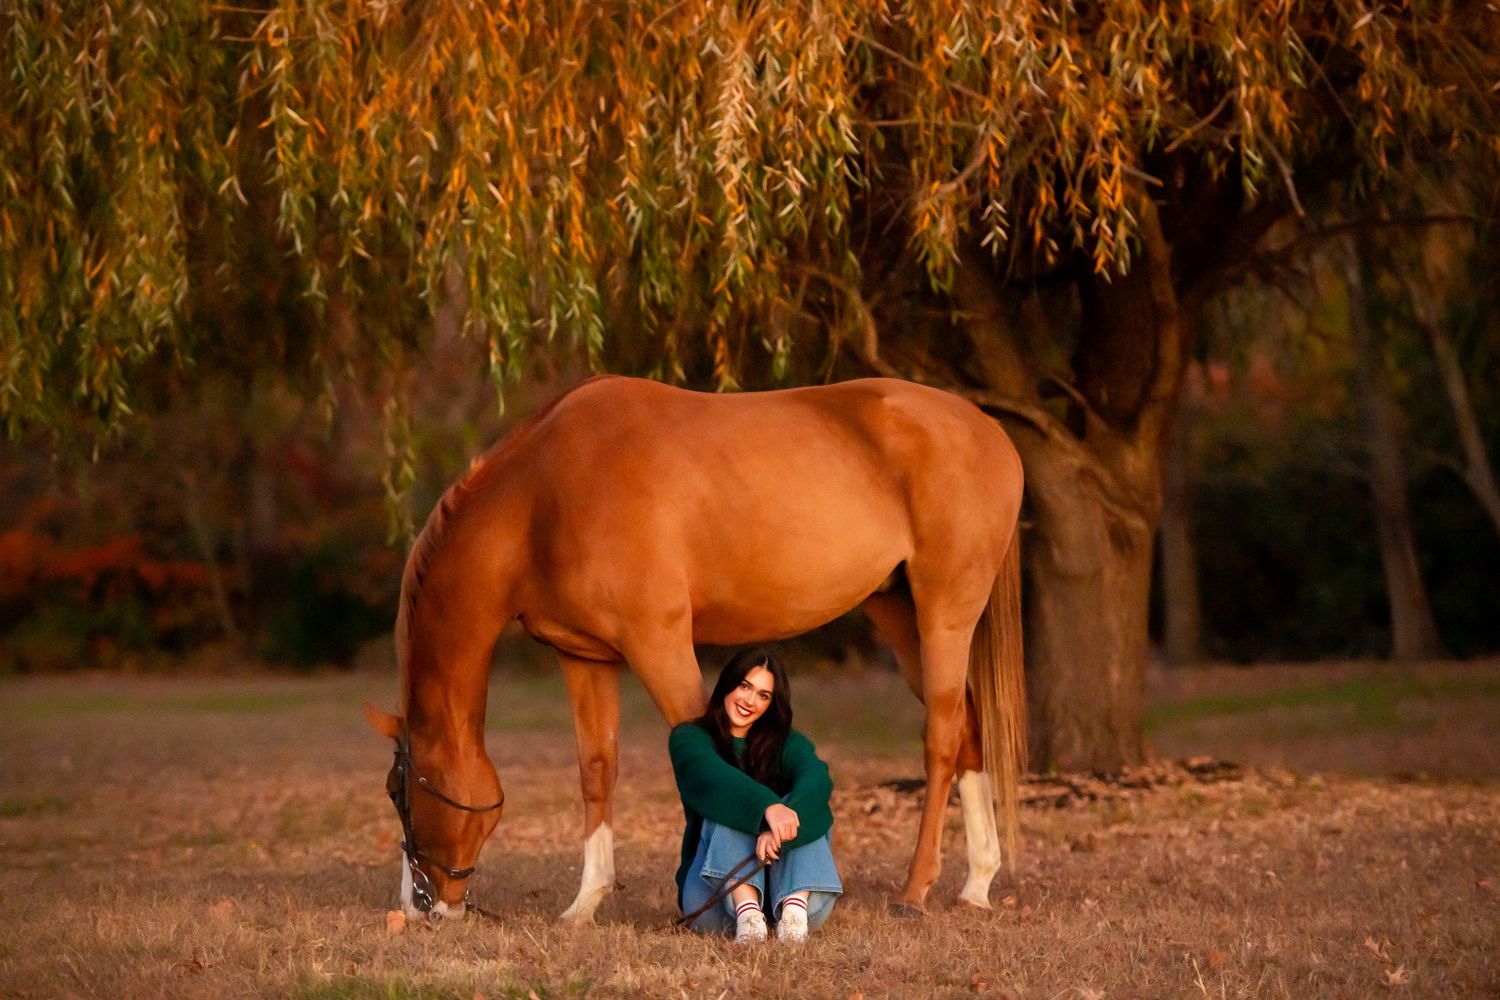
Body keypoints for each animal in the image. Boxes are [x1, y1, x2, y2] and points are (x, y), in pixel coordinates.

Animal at [363, 374, 1026, 922]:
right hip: (899, 613)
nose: (417, 906)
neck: (543, 496)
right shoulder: (587, 657)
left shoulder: (660, 645)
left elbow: (707, 768)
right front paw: (585, 904)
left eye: (398, 791)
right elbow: (598, 769)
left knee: (941, 736)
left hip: (945, 613)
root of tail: (990, 432)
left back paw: (916, 890)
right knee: (967, 726)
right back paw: (976, 884)